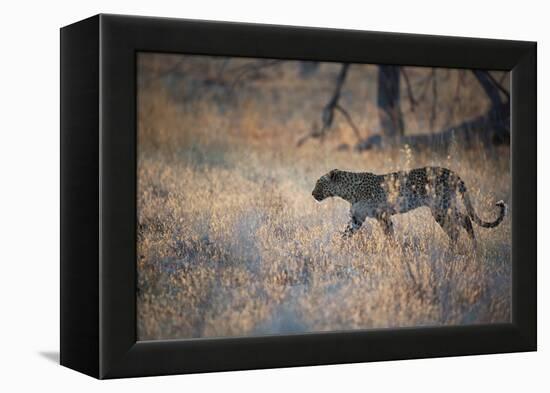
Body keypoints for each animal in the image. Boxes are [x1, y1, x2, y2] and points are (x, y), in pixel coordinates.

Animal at [312, 166, 506, 247]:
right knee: (464, 220)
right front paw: (337, 248)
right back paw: (471, 247)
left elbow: (388, 234)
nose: (313, 194)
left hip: (440, 207)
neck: (347, 192)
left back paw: (455, 250)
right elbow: (345, 234)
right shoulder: (356, 218)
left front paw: (391, 250)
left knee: (456, 228)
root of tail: (451, 172)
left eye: (319, 183)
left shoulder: (382, 215)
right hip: (444, 206)